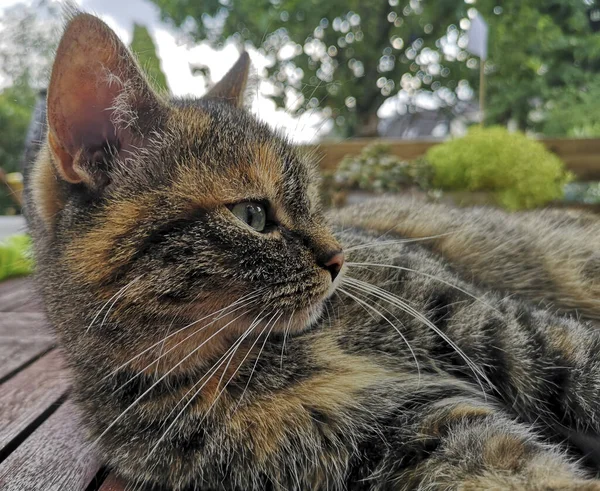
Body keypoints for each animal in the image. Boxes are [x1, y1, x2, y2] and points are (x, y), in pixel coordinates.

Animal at [25, 12, 600, 491]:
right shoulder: (408, 429)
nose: (340, 259)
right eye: (252, 216)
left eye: (315, 200)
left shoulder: (488, 322)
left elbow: (581, 359)